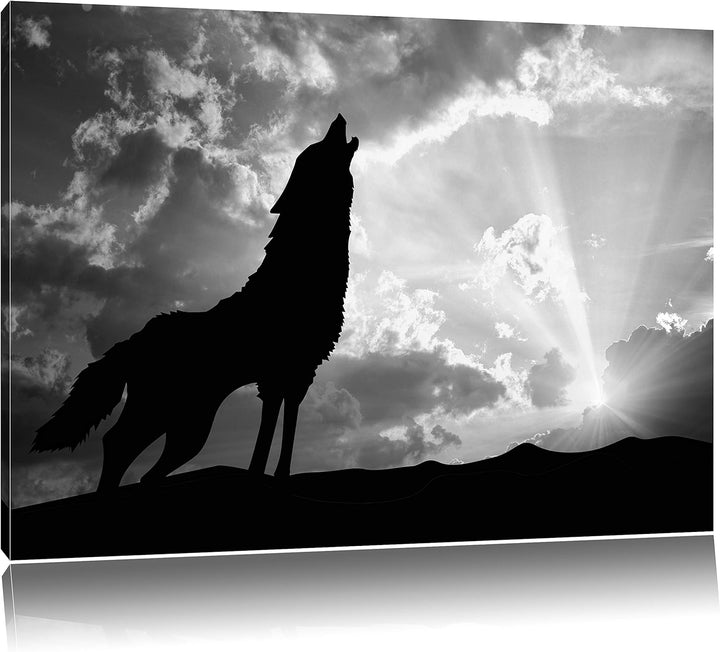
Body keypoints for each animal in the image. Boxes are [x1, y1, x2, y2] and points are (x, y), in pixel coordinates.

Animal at [32, 114, 359, 492]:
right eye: (318, 148)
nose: (339, 117)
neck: (302, 271)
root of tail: (133, 339)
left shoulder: (298, 372)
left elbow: (285, 427)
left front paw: (279, 478)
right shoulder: (278, 374)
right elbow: (267, 434)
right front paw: (257, 477)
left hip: (186, 428)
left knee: (139, 465)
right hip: (171, 418)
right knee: (117, 445)